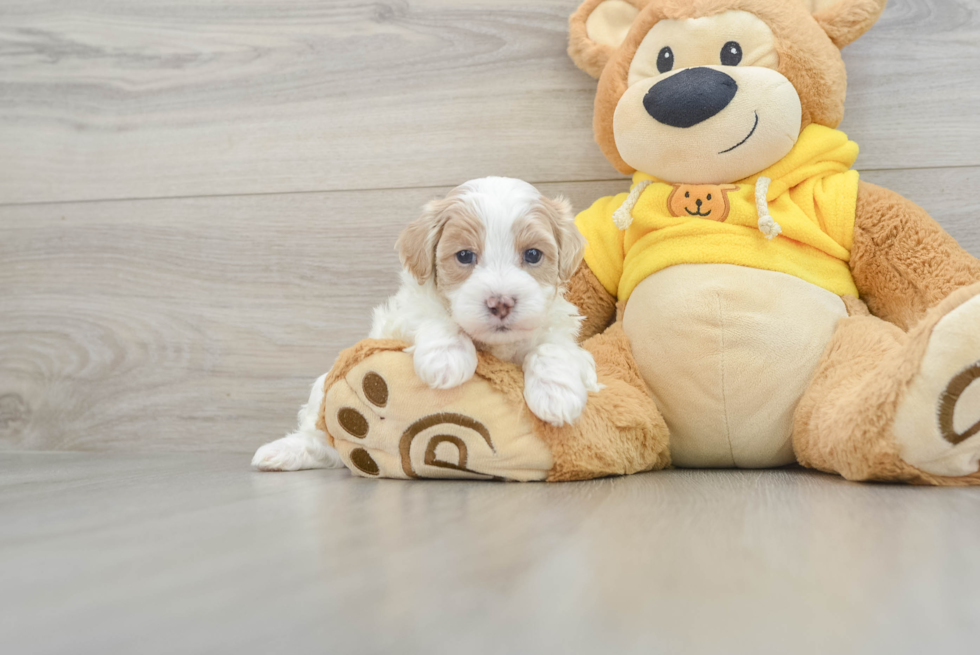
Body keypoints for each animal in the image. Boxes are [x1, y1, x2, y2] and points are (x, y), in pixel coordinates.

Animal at [253, 176, 600, 472]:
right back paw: (283, 452)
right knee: (320, 438)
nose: (500, 303)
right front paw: (446, 360)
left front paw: (557, 395)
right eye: (464, 256)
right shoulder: (405, 317)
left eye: (533, 255)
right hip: (321, 393)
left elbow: (551, 348)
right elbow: (436, 317)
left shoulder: (558, 328)